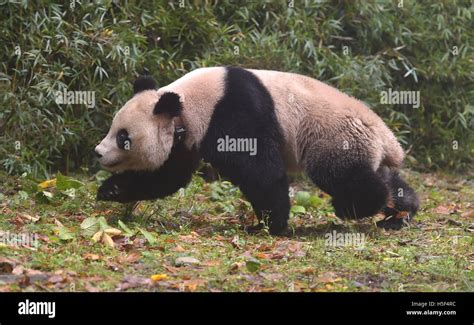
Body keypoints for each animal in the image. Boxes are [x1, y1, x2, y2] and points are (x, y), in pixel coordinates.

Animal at [95, 66, 418, 233]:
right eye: (113, 128)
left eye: (123, 137)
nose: (98, 152)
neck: (186, 103)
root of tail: (387, 138)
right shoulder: (185, 138)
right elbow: (169, 176)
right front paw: (111, 190)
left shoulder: (233, 112)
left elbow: (261, 171)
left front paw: (269, 225)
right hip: (362, 148)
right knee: (383, 176)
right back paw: (400, 213)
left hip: (334, 138)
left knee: (343, 176)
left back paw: (354, 207)